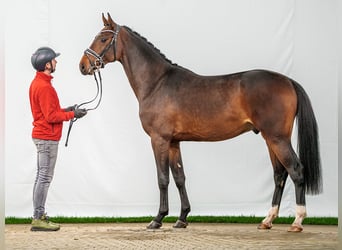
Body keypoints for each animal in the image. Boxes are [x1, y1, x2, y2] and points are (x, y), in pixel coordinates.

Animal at [79, 13, 322, 232]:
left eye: (103, 39)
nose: (82, 66)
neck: (157, 83)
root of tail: (288, 81)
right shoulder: (174, 142)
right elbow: (179, 178)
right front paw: (182, 219)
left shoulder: (159, 139)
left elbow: (162, 179)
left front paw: (157, 219)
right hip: (270, 139)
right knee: (279, 174)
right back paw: (267, 220)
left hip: (277, 138)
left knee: (296, 170)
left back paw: (297, 221)